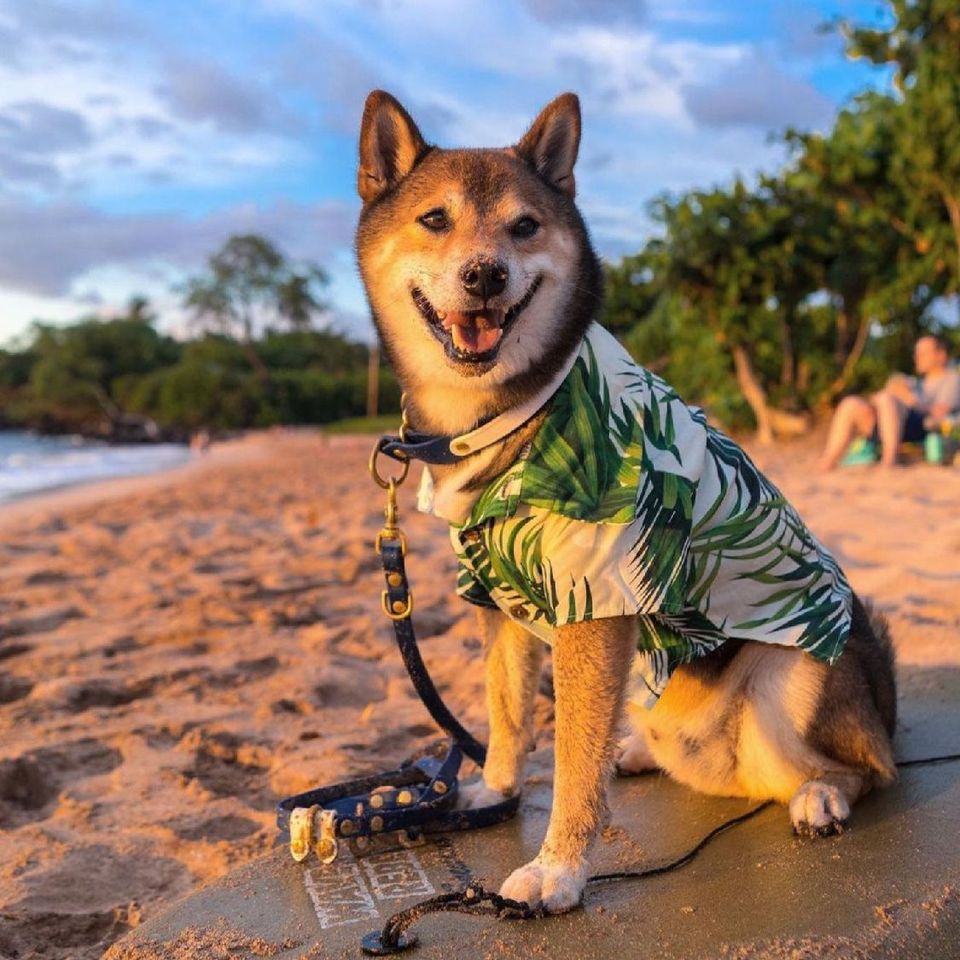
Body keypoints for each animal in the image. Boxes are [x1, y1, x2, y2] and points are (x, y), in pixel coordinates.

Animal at [354, 90, 900, 916]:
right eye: (435, 219)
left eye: (524, 227)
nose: (484, 275)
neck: (507, 417)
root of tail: (883, 707)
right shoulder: (496, 597)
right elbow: (509, 715)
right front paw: (494, 791)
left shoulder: (594, 598)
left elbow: (574, 759)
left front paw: (558, 868)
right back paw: (644, 752)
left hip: (789, 678)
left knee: (861, 770)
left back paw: (820, 795)